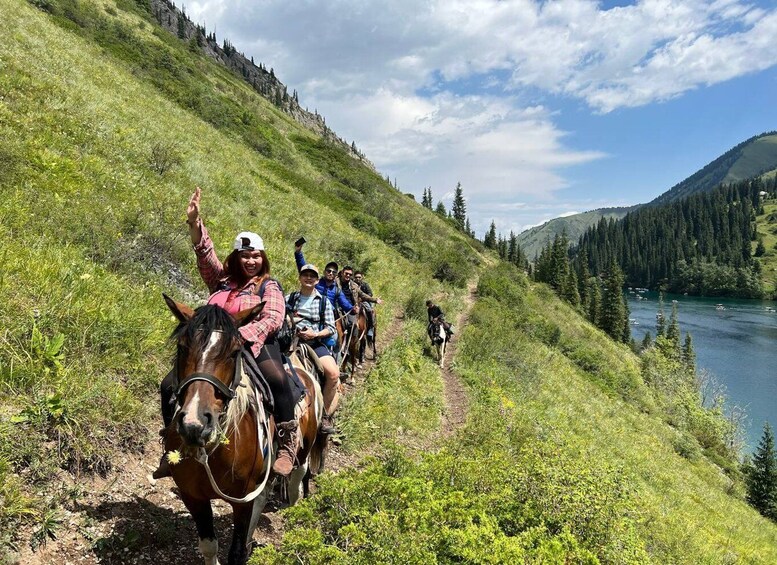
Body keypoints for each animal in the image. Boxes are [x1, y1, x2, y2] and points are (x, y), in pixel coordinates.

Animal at [161, 296, 324, 564]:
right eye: (182, 347)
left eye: (234, 352)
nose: (195, 423)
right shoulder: (193, 497)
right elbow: (209, 546)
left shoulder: (243, 500)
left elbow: (235, 553)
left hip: (303, 449)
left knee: (297, 478)